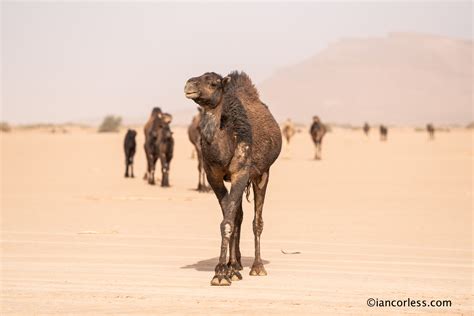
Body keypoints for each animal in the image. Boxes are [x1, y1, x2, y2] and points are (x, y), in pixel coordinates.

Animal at [184, 71, 282, 286]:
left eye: (213, 83)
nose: (189, 85)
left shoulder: (241, 172)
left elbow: (227, 223)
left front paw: (220, 274)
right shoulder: (214, 177)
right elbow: (228, 219)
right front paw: (227, 270)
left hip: (263, 173)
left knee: (257, 221)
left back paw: (257, 267)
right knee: (239, 215)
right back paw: (236, 265)